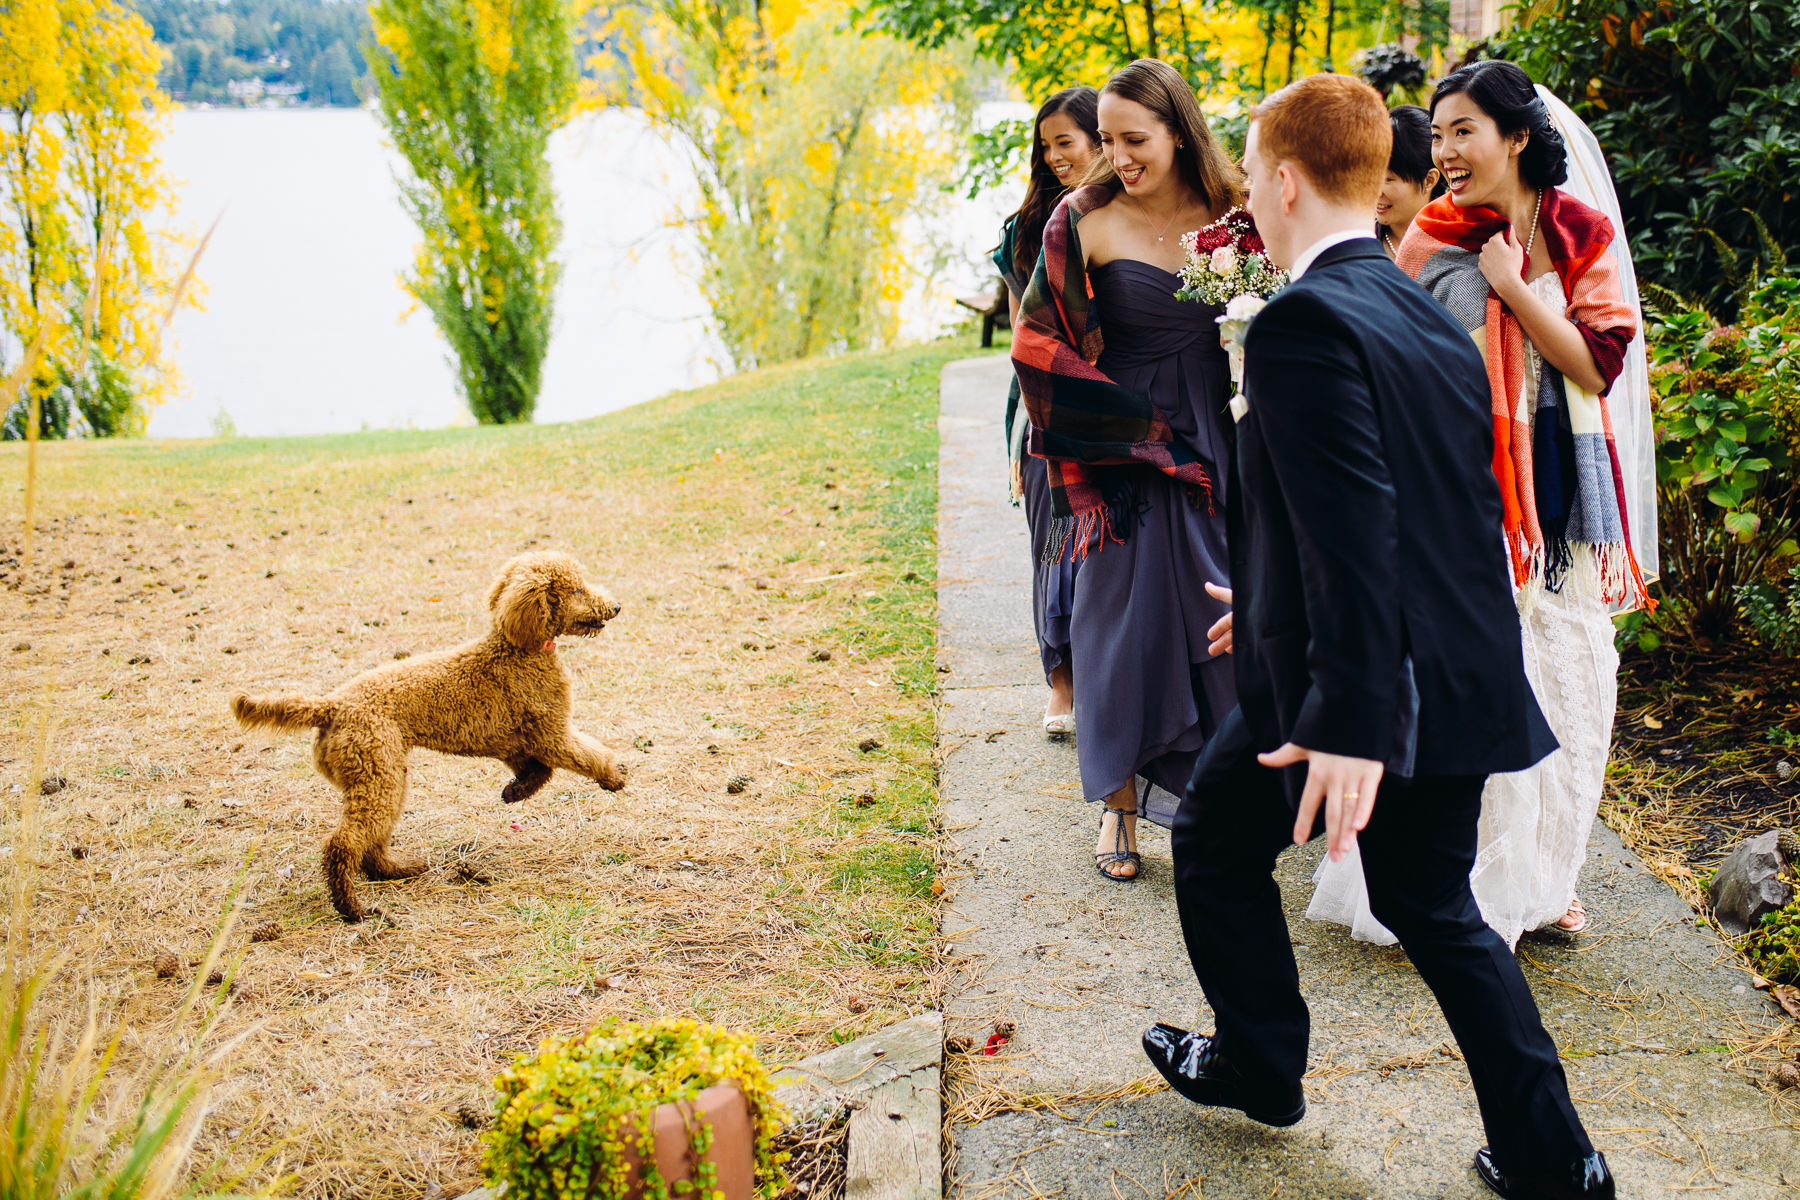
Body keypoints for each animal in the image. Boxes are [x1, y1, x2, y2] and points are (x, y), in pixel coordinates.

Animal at [232, 554, 626, 921]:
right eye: (577, 590)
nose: (616, 606)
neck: (517, 647)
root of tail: (331, 705)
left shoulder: (512, 739)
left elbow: (537, 771)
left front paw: (514, 792)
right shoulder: (551, 733)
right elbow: (588, 755)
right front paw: (614, 777)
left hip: (384, 777)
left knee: (371, 841)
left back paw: (395, 870)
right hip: (377, 774)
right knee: (342, 844)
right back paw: (351, 908)